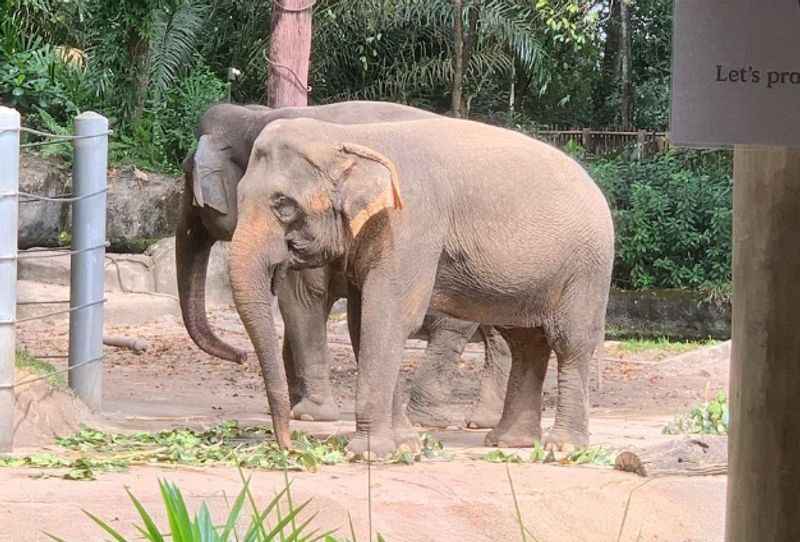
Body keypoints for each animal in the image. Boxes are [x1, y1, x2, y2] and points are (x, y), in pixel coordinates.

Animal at [177, 101, 510, 430]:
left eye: (186, 179)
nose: (242, 356)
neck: (255, 115)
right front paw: (298, 405)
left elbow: (301, 300)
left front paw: (310, 414)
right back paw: (481, 422)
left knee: (452, 331)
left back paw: (432, 420)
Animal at [228, 116, 616, 460]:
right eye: (239, 197)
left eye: (283, 204)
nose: (288, 447)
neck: (351, 137)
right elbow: (362, 320)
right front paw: (404, 446)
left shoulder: (409, 225)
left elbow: (388, 316)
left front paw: (369, 453)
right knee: (526, 343)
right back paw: (510, 442)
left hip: (586, 270)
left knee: (570, 343)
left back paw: (562, 448)